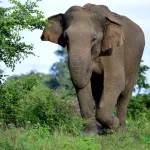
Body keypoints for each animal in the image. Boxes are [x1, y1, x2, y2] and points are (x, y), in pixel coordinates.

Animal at [40, 3, 145, 135]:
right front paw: (90, 134)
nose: (91, 68)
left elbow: (116, 81)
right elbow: (83, 87)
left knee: (124, 96)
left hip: (135, 64)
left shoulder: (114, 52)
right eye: (66, 37)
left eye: (94, 39)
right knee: (98, 92)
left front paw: (113, 125)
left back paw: (120, 131)